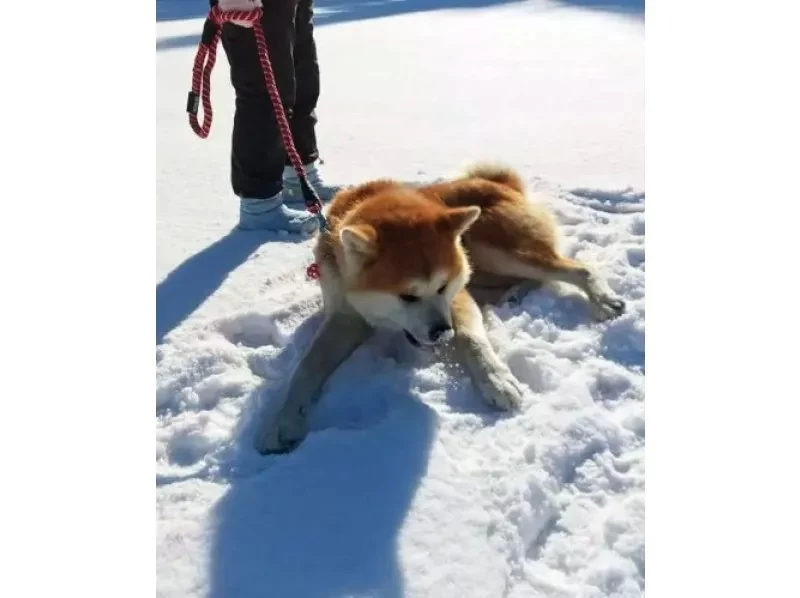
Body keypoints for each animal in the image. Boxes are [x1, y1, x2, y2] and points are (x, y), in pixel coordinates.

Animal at [255, 164, 624, 454]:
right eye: (406, 296)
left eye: (442, 287)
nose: (441, 332)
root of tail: (500, 182)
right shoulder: (345, 316)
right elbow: (306, 368)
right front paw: (282, 422)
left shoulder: (457, 298)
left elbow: (472, 341)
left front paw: (497, 381)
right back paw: (514, 294)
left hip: (502, 252)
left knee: (576, 269)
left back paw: (601, 298)